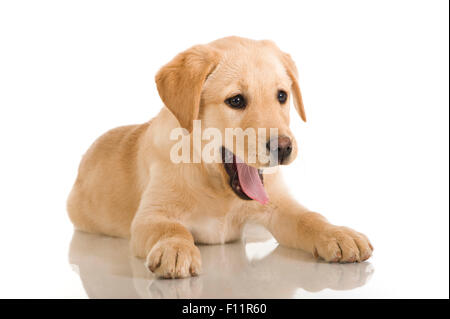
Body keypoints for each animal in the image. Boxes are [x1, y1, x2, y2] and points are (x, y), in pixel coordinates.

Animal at [67, 36, 374, 278]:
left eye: (282, 96)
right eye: (236, 100)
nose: (284, 147)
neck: (218, 189)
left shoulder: (279, 206)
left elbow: (309, 217)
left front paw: (338, 233)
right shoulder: (150, 215)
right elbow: (170, 228)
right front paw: (175, 249)